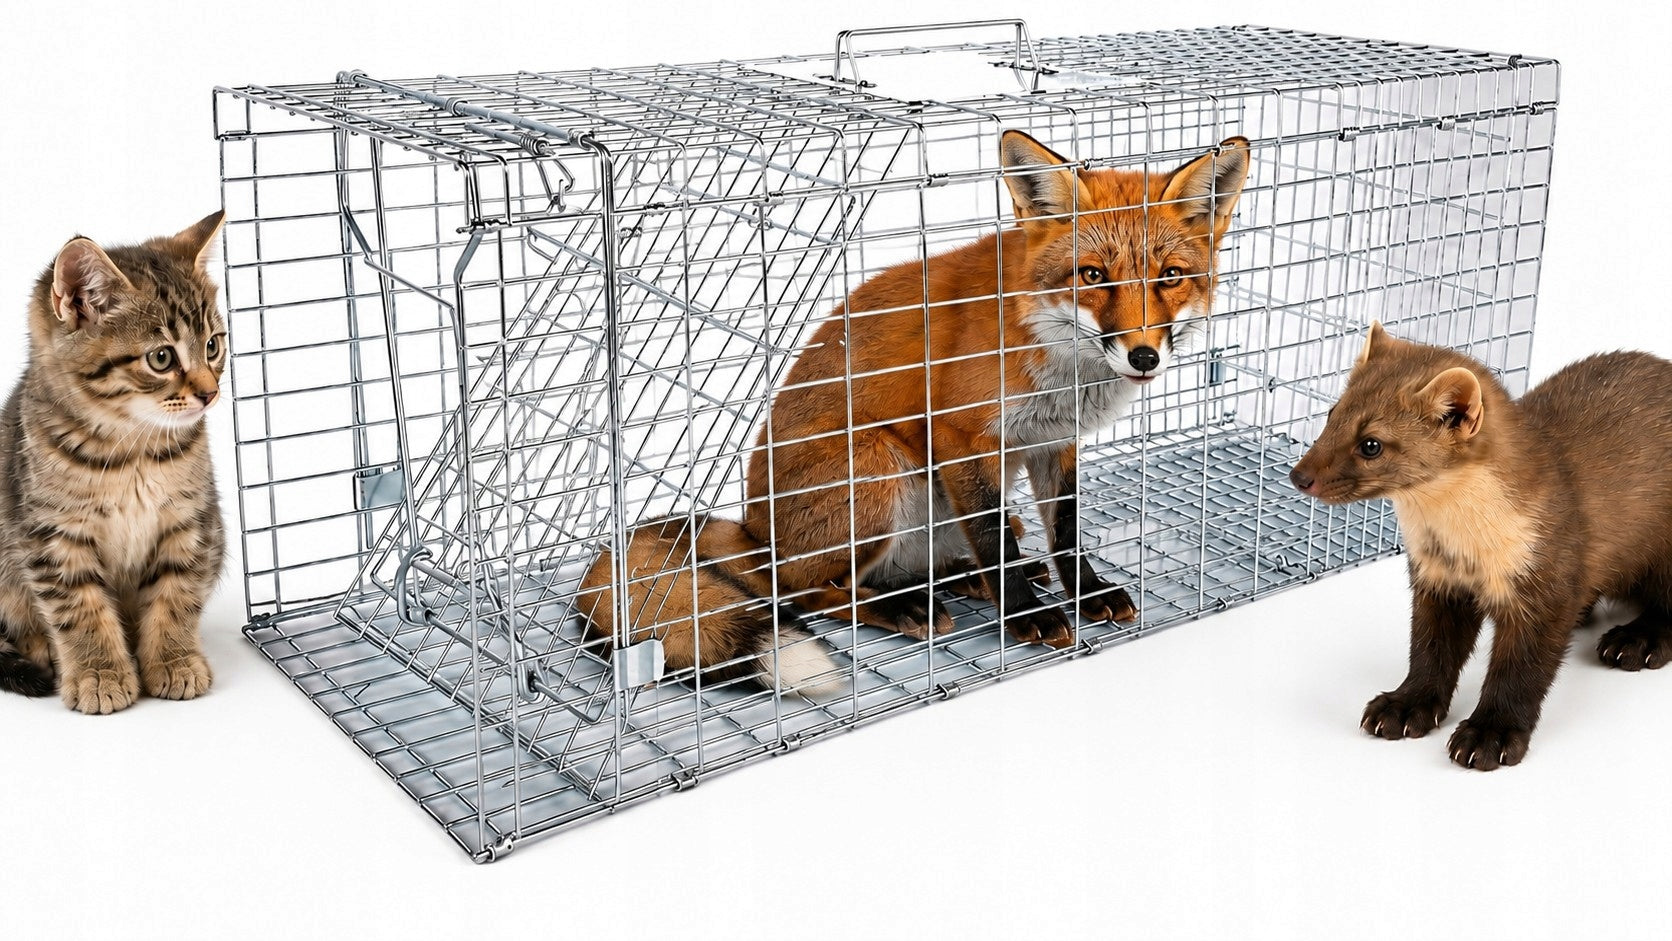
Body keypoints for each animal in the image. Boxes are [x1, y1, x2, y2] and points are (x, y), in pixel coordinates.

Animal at [579, 130, 1251, 688]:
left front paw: (1085, 594)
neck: (1058, 360)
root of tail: (754, 529)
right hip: (880, 467)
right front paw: (1026, 615)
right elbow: (993, 538)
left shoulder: (1053, 441)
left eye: (1170, 277)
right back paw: (906, 603)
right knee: (806, 591)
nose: (1143, 356)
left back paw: (959, 578)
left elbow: (1065, 531)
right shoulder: (963, 436)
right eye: (1091, 276)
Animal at [1290, 323, 1672, 769]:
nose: (1300, 476)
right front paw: (1402, 708)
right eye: (1332, 414)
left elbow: (1520, 672)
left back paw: (1634, 641)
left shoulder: (1544, 577)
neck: (1463, 548)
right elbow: (1429, 651)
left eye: (1371, 443)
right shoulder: (1436, 580)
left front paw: (1489, 735)